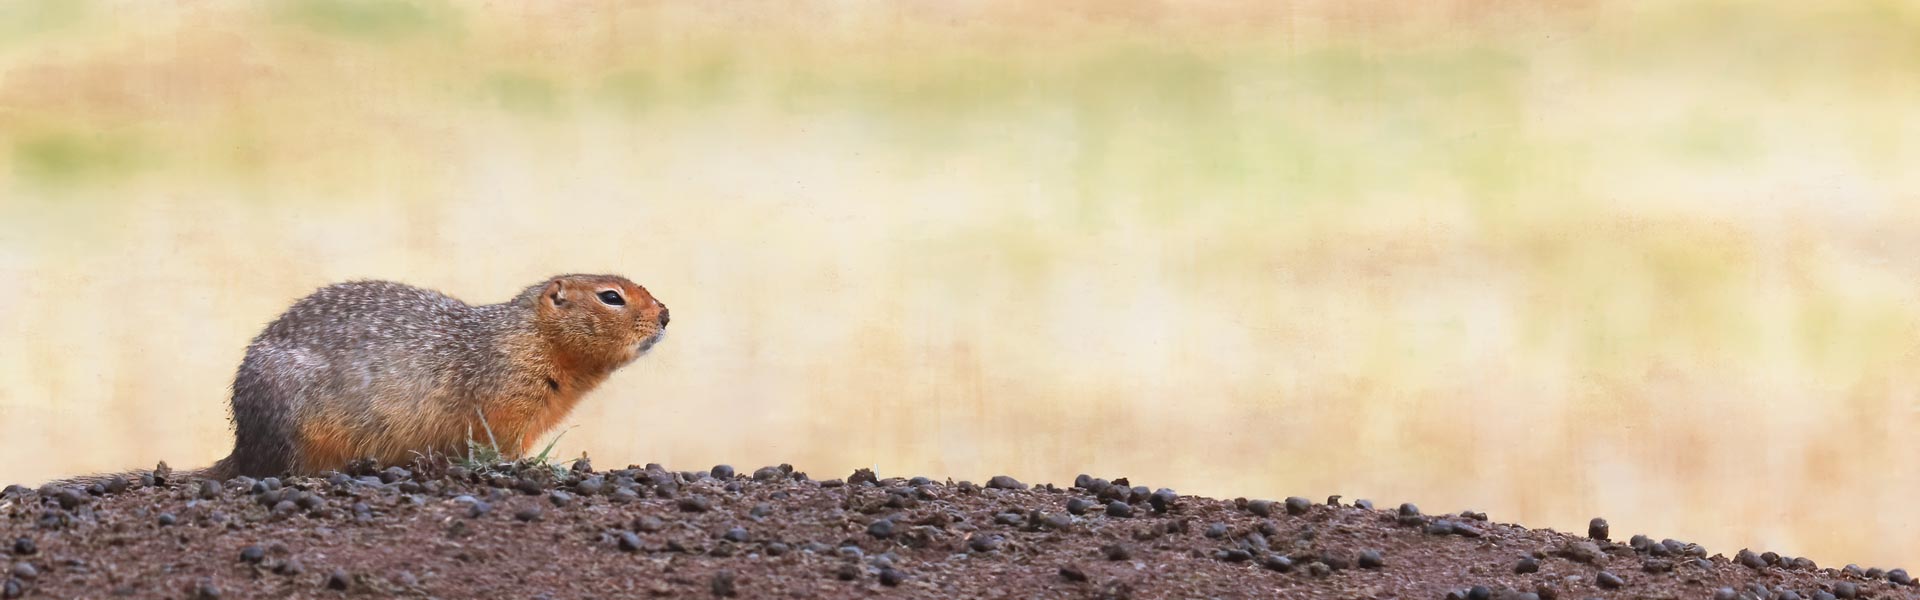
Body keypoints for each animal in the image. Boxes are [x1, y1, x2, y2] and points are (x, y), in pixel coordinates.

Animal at [48, 275, 672, 484]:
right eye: (611, 296)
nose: (667, 314)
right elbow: (498, 445)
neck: (528, 337)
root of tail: (243, 446)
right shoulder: (503, 401)